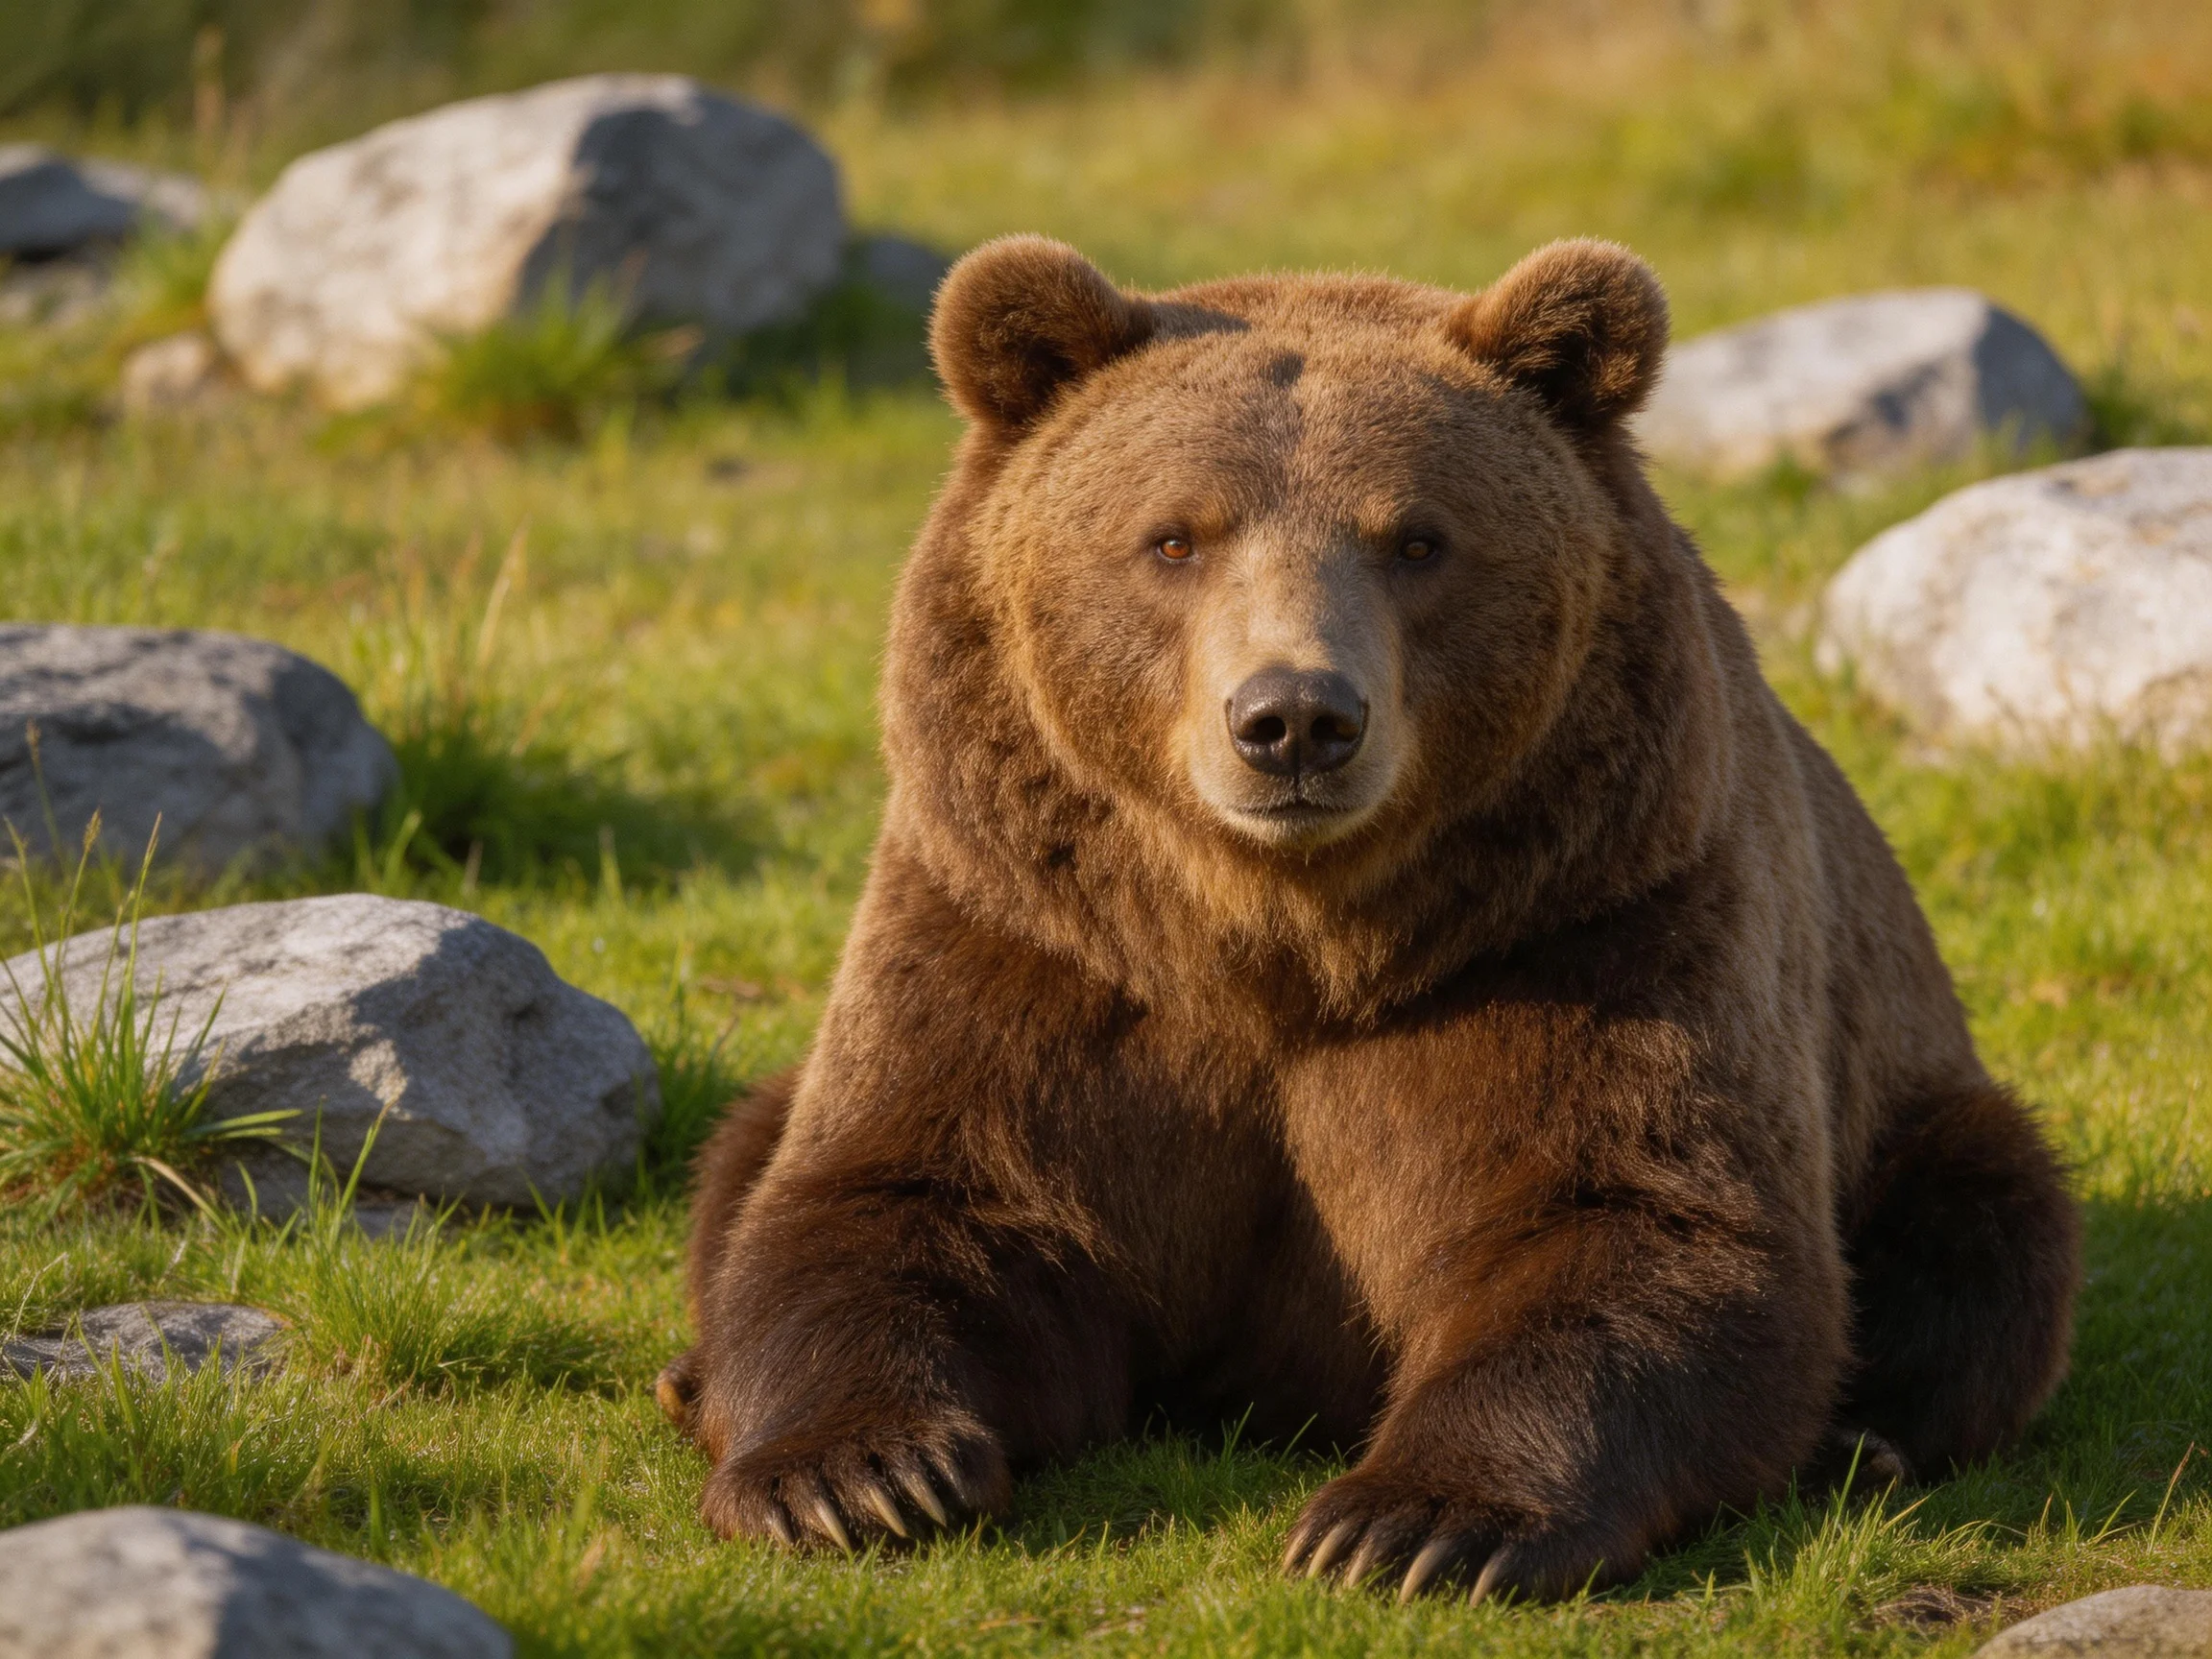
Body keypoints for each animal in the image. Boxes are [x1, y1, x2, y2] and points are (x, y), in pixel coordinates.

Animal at [656, 235, 2082, 1600]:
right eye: (1174, 537)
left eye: (1418, 539)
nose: (1295, 717)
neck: (1283, 942)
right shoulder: (1031, 937)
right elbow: (900, 1190)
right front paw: (856, 1476)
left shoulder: (1603, 922)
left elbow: (1639, 1221)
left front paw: (1412, 1523)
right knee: (743, 1149)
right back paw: (689, 1376)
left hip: (1903, 1092)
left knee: (1986, 1221)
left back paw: (1867, 1440)